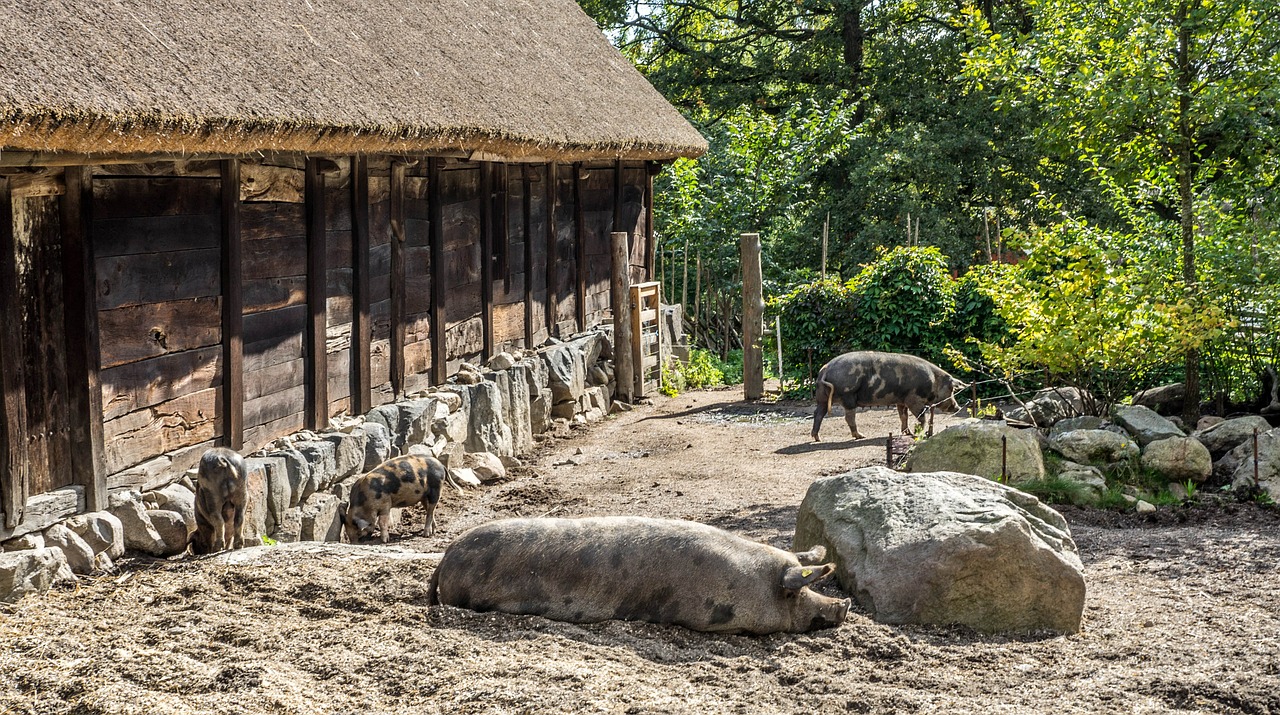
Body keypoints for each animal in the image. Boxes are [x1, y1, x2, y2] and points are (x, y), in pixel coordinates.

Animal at [814, 350, 962, 440]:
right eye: (951, 390)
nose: (958, 407)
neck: (934, 381)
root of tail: (826, 368)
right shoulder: (913, 400)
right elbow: (921, 417)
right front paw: (916, 433)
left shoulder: (901, 400)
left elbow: (903, 416)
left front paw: (907, 433)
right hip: (848, 394)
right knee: (848, 417)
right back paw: (861, 436)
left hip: (822, 397)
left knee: (818, 414)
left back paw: (817, 438)